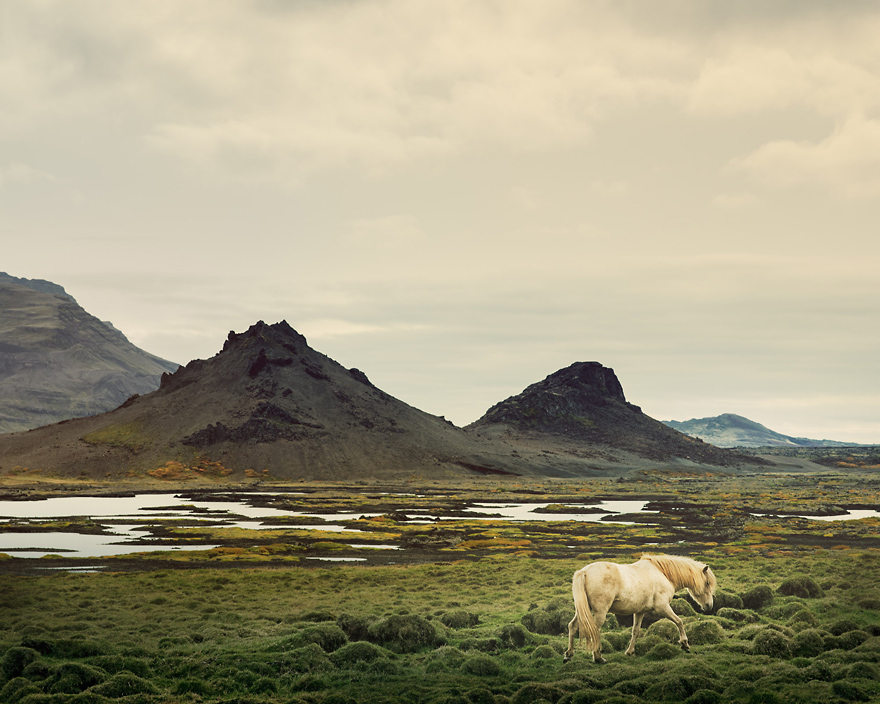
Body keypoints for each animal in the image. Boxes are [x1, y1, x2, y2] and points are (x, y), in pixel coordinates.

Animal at [562, 553, 717, 664]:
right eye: (707, 583)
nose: (709, 606)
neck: (663, 574)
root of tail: (584, 571)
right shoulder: (663, 608)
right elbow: (679, 621)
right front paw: (685, 644)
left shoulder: (639, 612)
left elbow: (635, 631)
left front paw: (630, 652)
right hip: (600, 612)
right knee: (594, 630)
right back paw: (598, 658)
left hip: (582, 610)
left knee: (572, 626)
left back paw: (569, 655)